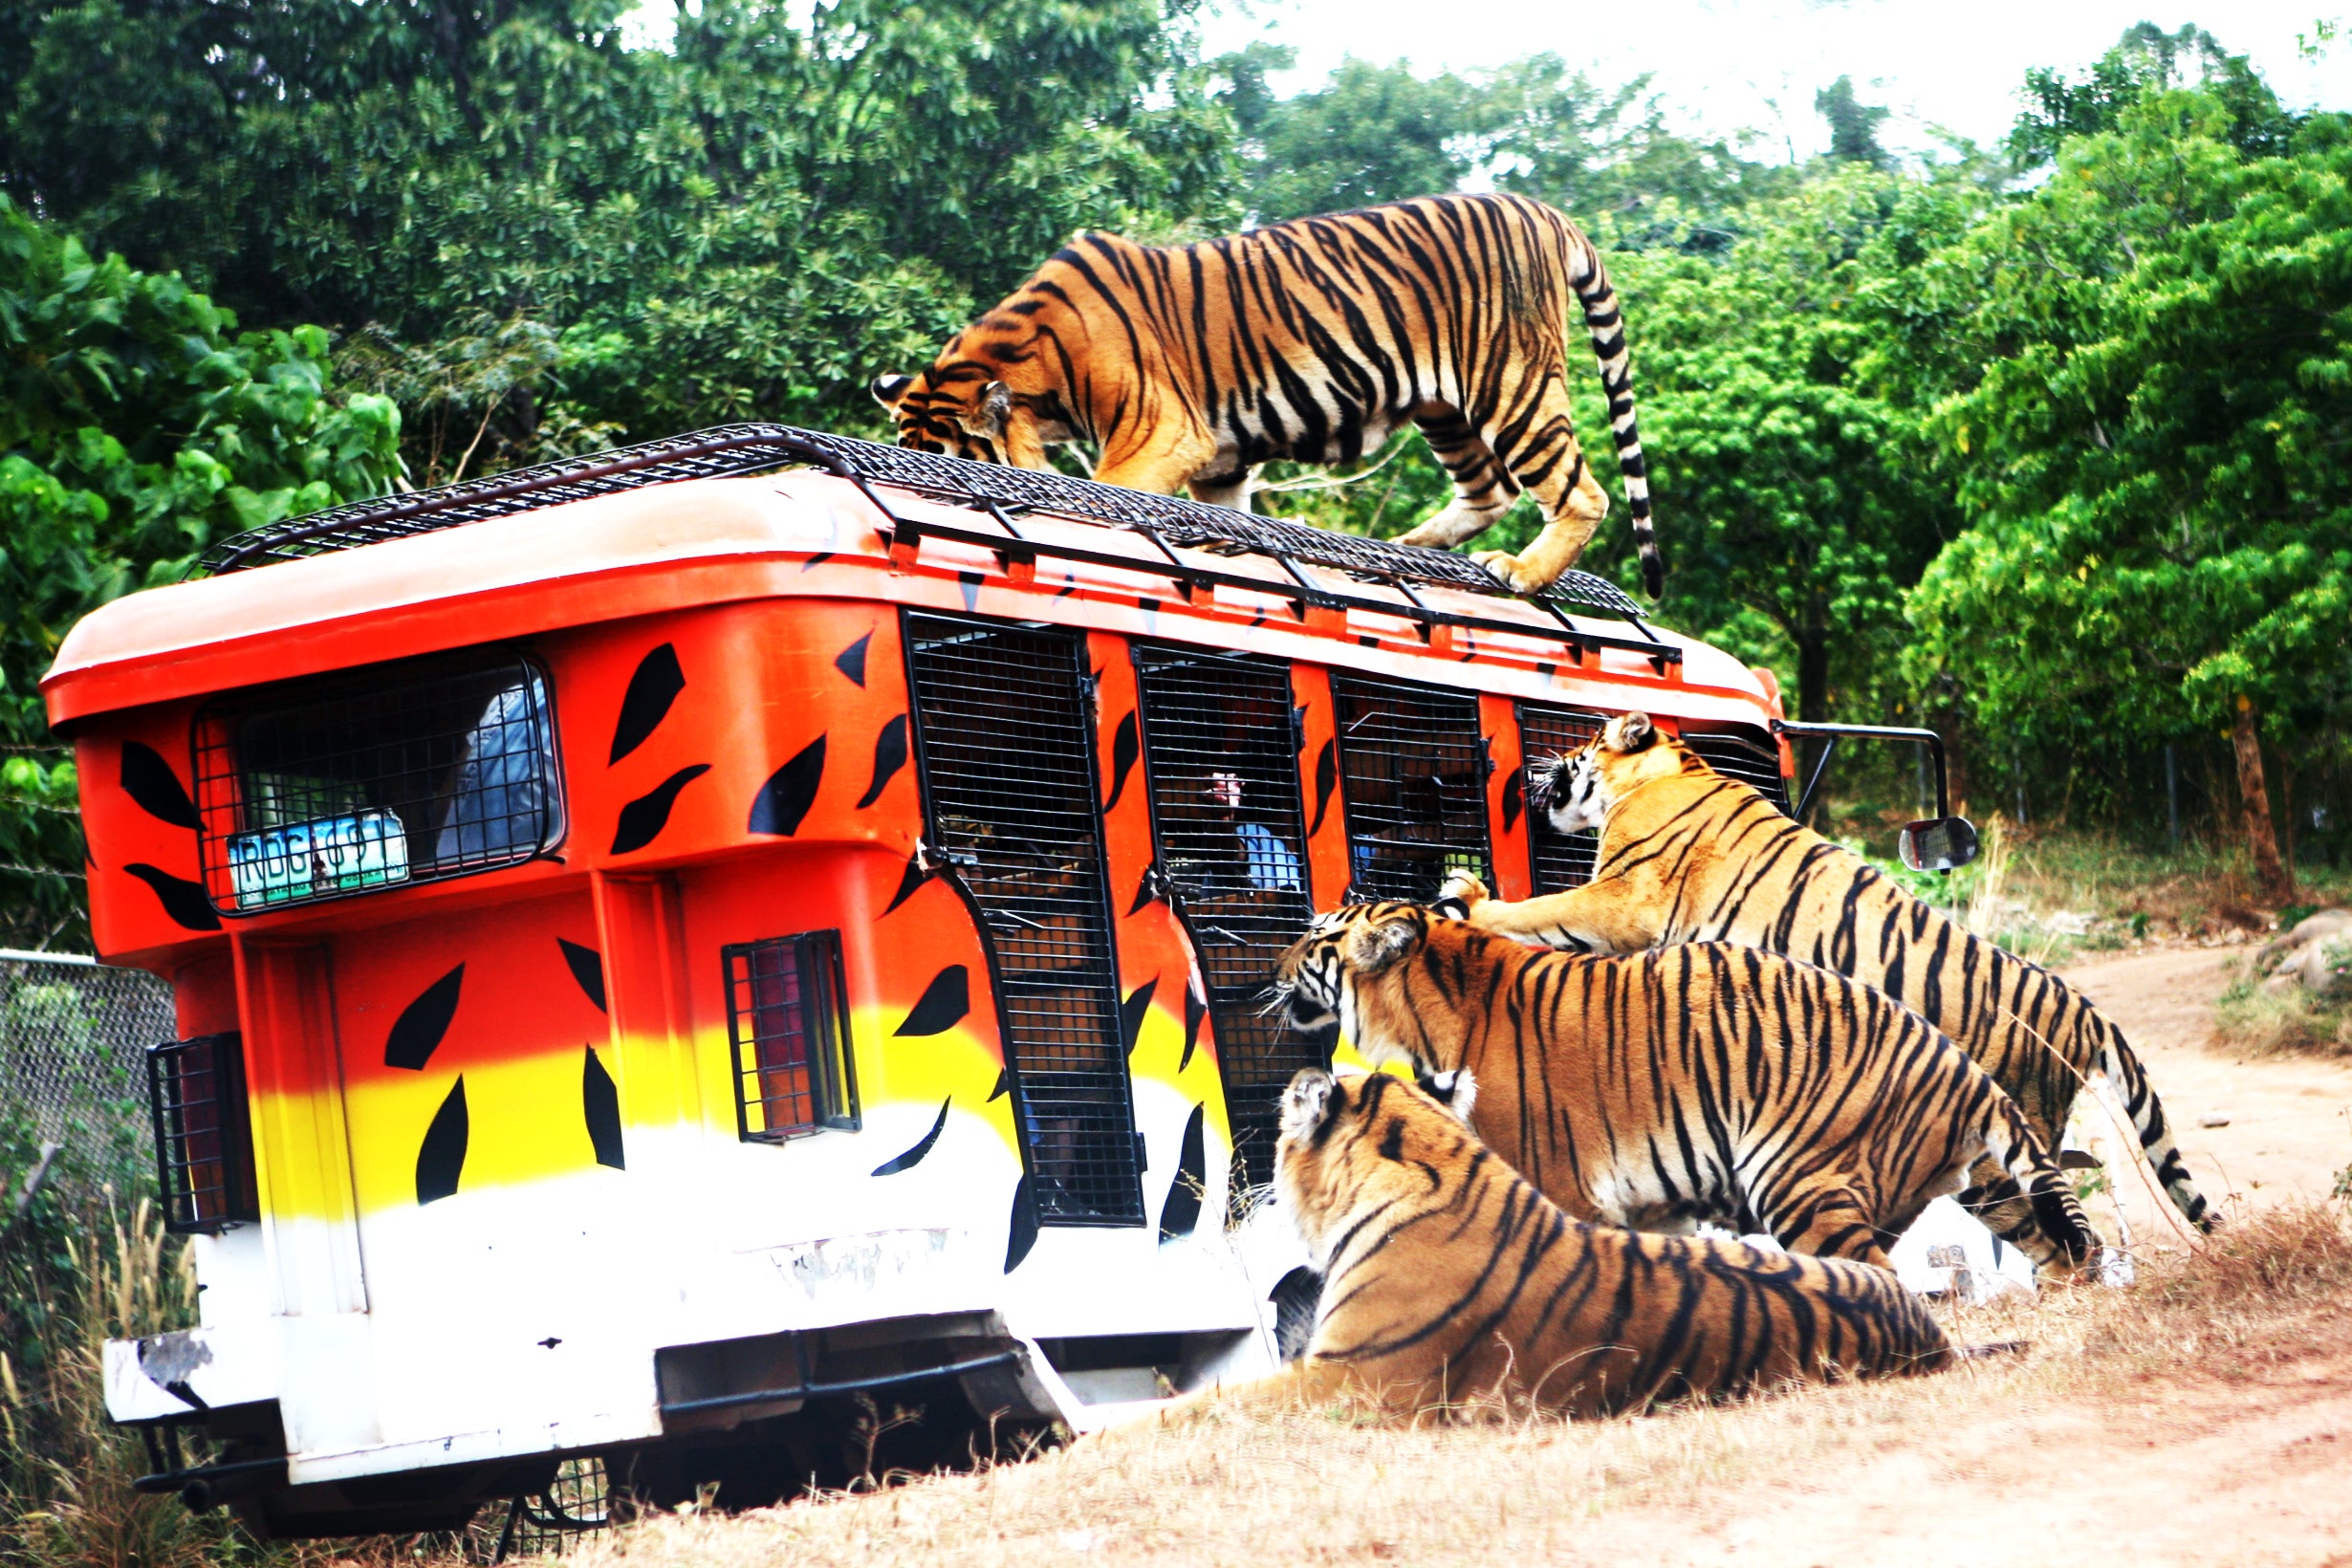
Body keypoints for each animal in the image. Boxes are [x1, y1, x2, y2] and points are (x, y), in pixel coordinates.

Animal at [869, 192, 1662, 597]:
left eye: (947, 471)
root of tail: (1545, 210)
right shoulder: (1221, 461)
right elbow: (1231, 521)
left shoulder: (1164, 434)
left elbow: (1110, 494)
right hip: (1444, 403)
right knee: (1488, 489)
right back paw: (1399, 550)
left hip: (1508, 378)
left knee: (1581, 491)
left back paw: (1521, 571)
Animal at [1270, 900, 2102, 1278]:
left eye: (1317, 938)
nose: (1271, 968)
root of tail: (1960, 1064)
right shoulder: (1649, 1201)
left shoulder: (1559, 1185)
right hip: (1973, 1188)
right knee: (2064, 1250)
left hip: (1797, 1178)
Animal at [1442, 711, 2215, 1239]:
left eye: (1578, 748)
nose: (1534, 767)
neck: (1673, 769)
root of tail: (2082, 1006)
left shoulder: (1626, 897)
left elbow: (1541, 911)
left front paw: (1474, 902)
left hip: (2003, 1139)